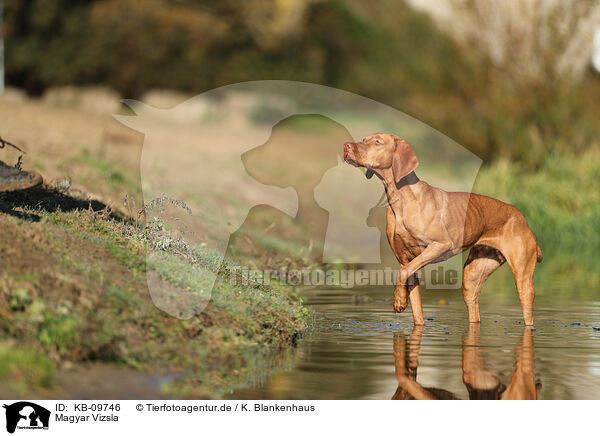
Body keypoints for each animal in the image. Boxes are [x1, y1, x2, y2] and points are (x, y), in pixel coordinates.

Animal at [342, 133, 544, 324]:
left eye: (378, 141)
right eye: (364, 139)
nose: (346, 146)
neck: (400, 197)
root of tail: (521, 217)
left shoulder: (440, 245)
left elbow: (402, 272)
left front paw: (398, 300)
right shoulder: (406, 260)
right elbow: (416, 309)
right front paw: (404, 302)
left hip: (523, 279)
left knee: (528, 315)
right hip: (472, 277)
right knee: (474, 311)